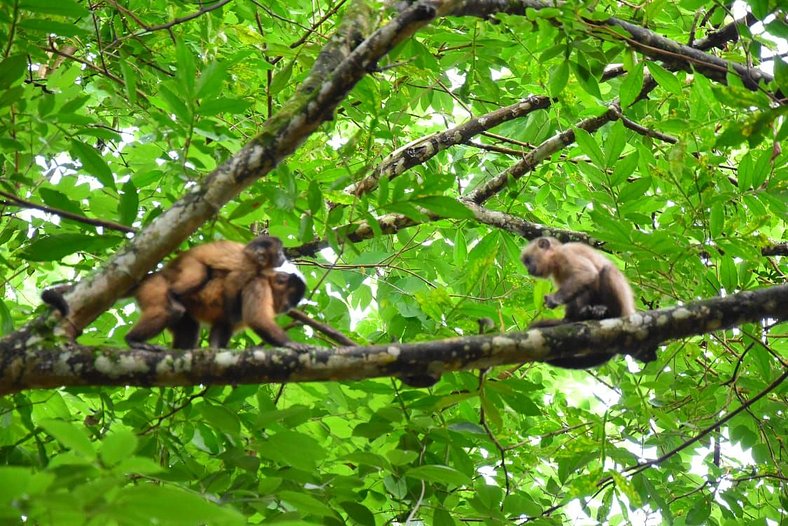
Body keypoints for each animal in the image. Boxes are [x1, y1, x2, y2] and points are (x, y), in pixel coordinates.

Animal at [520, 237, 656, 370]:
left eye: (528, 261)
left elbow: (586, 275)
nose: (528, 270)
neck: (556, 260)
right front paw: (568, 319)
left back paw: (607, 313)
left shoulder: (567, 254)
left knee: (606, 271)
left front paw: (554, 300)